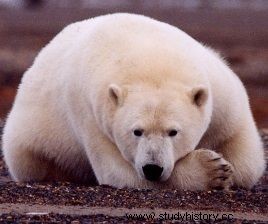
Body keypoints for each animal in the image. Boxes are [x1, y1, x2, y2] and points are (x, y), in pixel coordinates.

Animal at [1, 13, 266, 190]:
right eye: (137, 131)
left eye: (173, 131)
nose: (152, 168)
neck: (150, 58)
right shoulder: (92, 115)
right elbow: (120, 173)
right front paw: (213, 170)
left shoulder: (222, 93)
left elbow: (246, 159)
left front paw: (227, 167)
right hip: (30, 142)